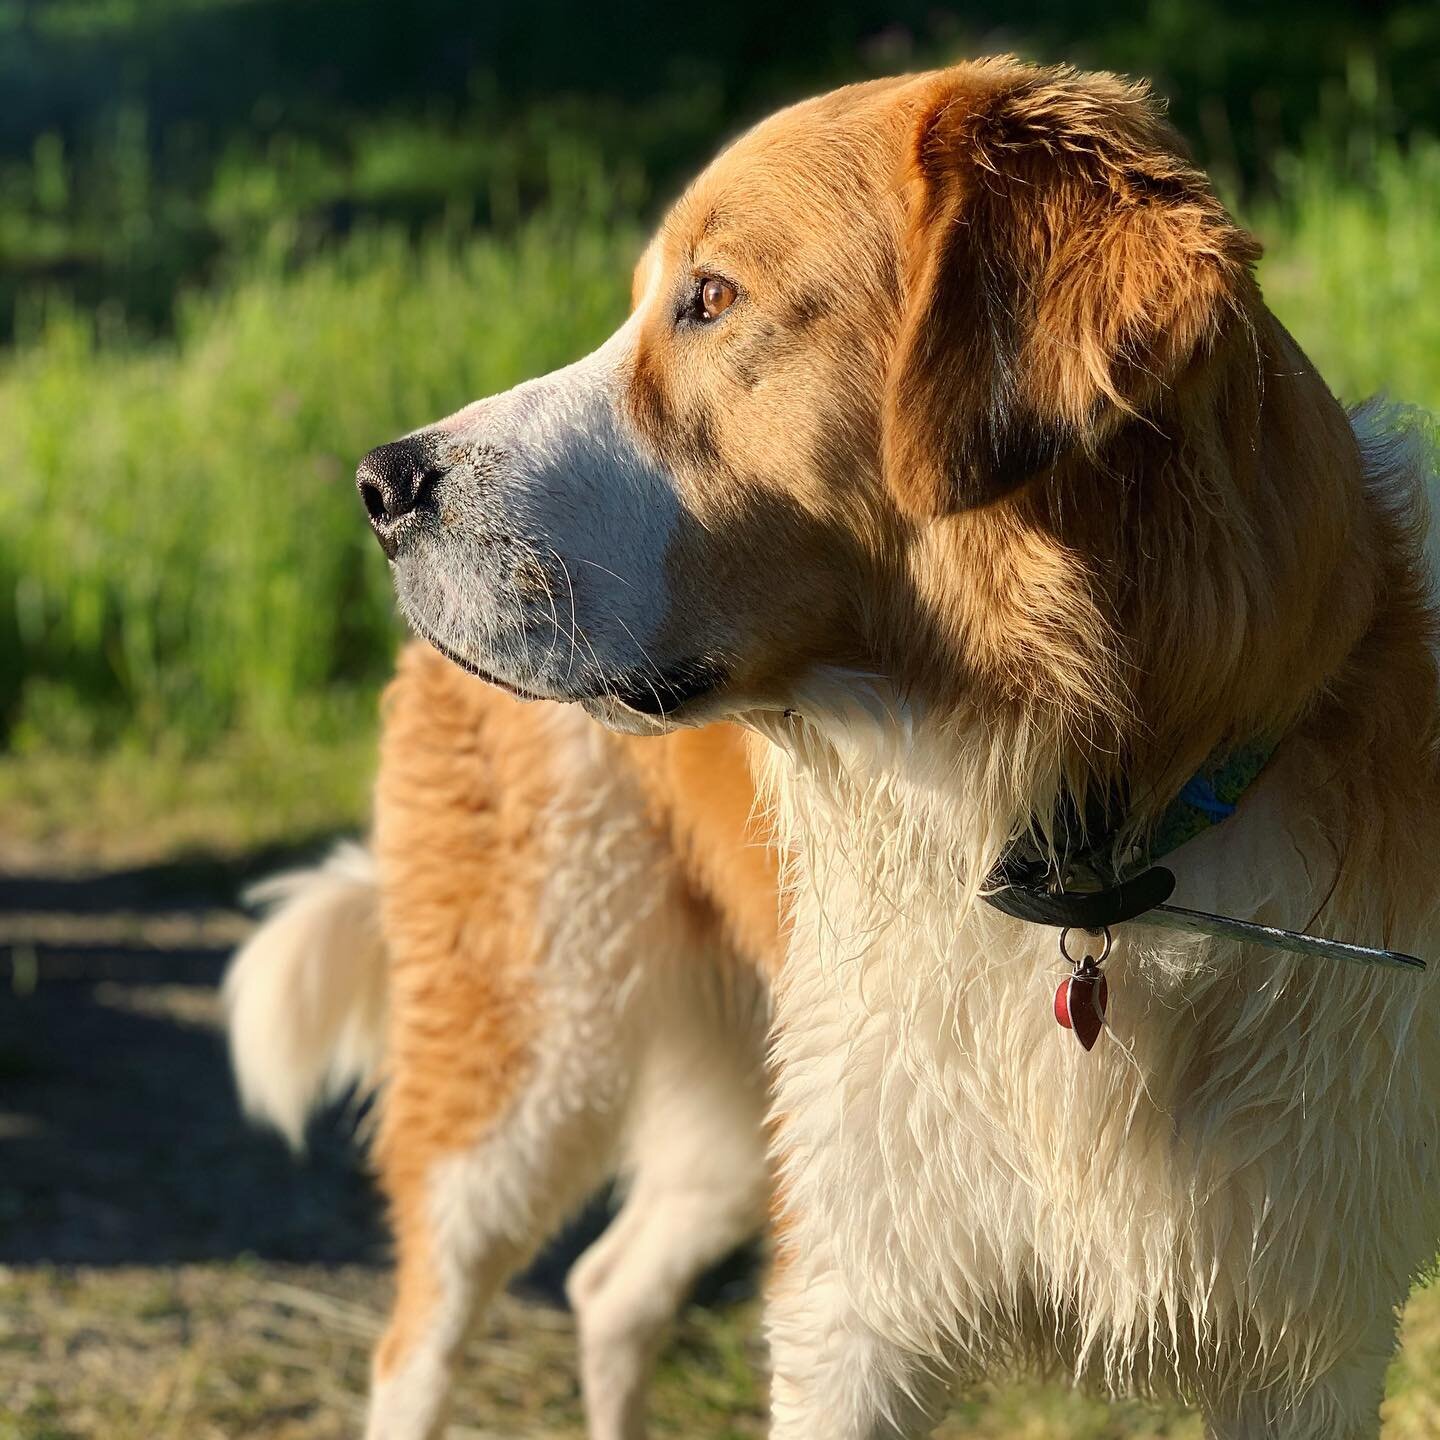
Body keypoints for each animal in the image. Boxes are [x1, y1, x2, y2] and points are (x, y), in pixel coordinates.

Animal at [227, 59, 1440, 1440]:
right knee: (420, 1343)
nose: (380, 488)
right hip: (526, 1070)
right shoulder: (851, 1306)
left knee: (610, 1284)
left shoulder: (1307, 1341)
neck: (1080, 834)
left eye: (711, 298)